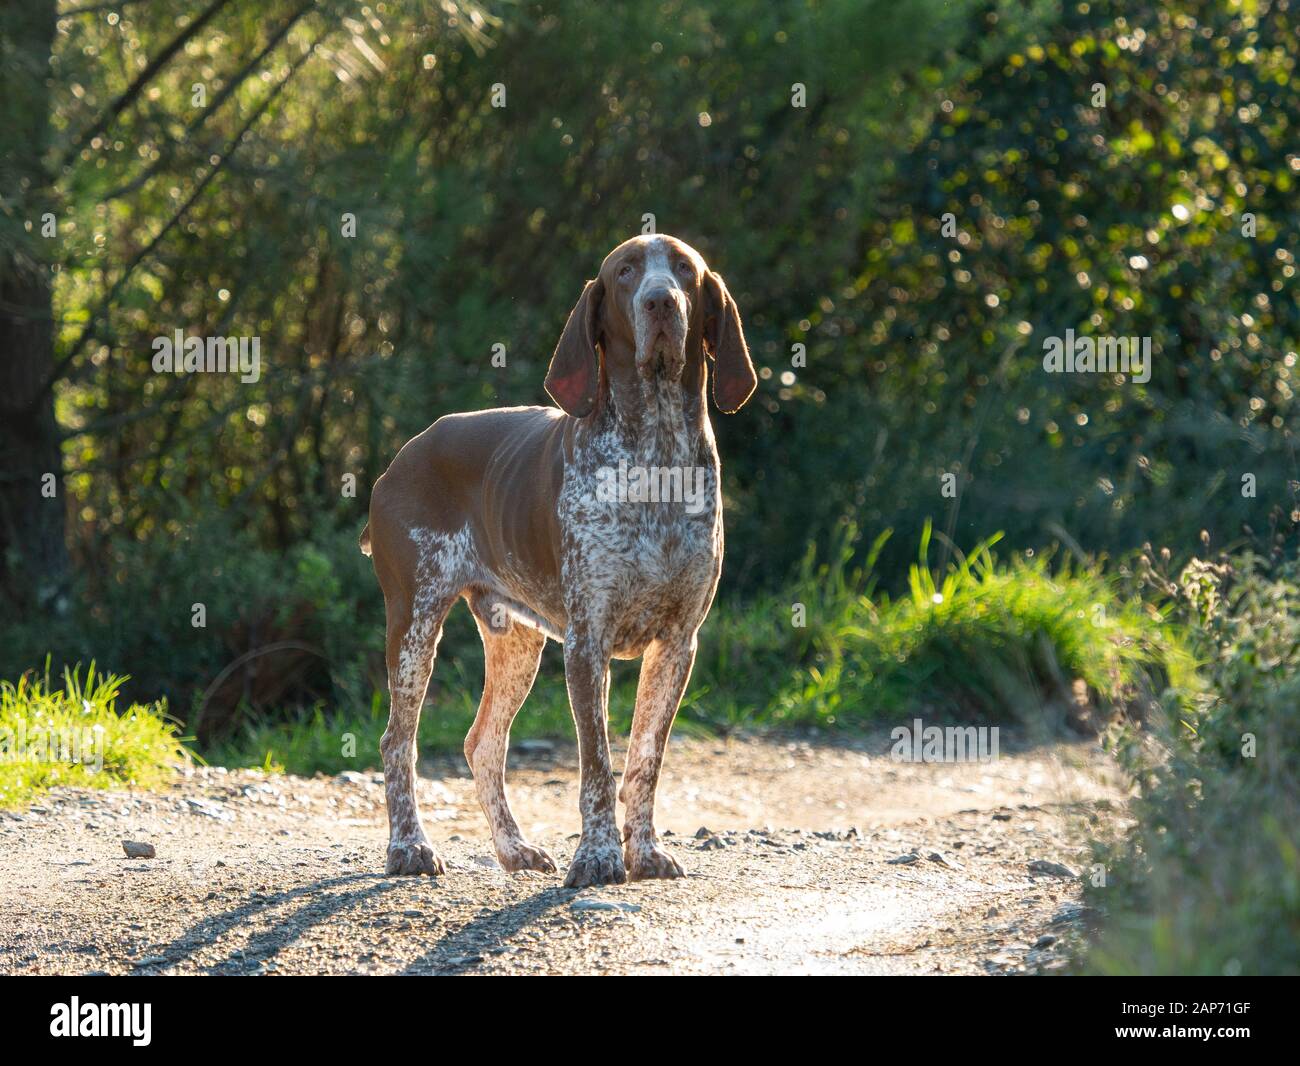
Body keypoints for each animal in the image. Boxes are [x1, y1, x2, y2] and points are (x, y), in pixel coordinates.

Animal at [361, 235, 759, 889]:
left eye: (684, 270)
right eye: (625, 273)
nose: (660, 302)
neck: (656, 456)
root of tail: (402, 456)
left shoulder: (678, 643)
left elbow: (644, 760)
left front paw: (644, 852)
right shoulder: (587, 639)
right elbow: (597, 764)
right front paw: (597, 858)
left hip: (516, 642)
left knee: (482, 745)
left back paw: (513, 848)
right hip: (416, 624)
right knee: (398, 742)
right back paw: (409, 847)